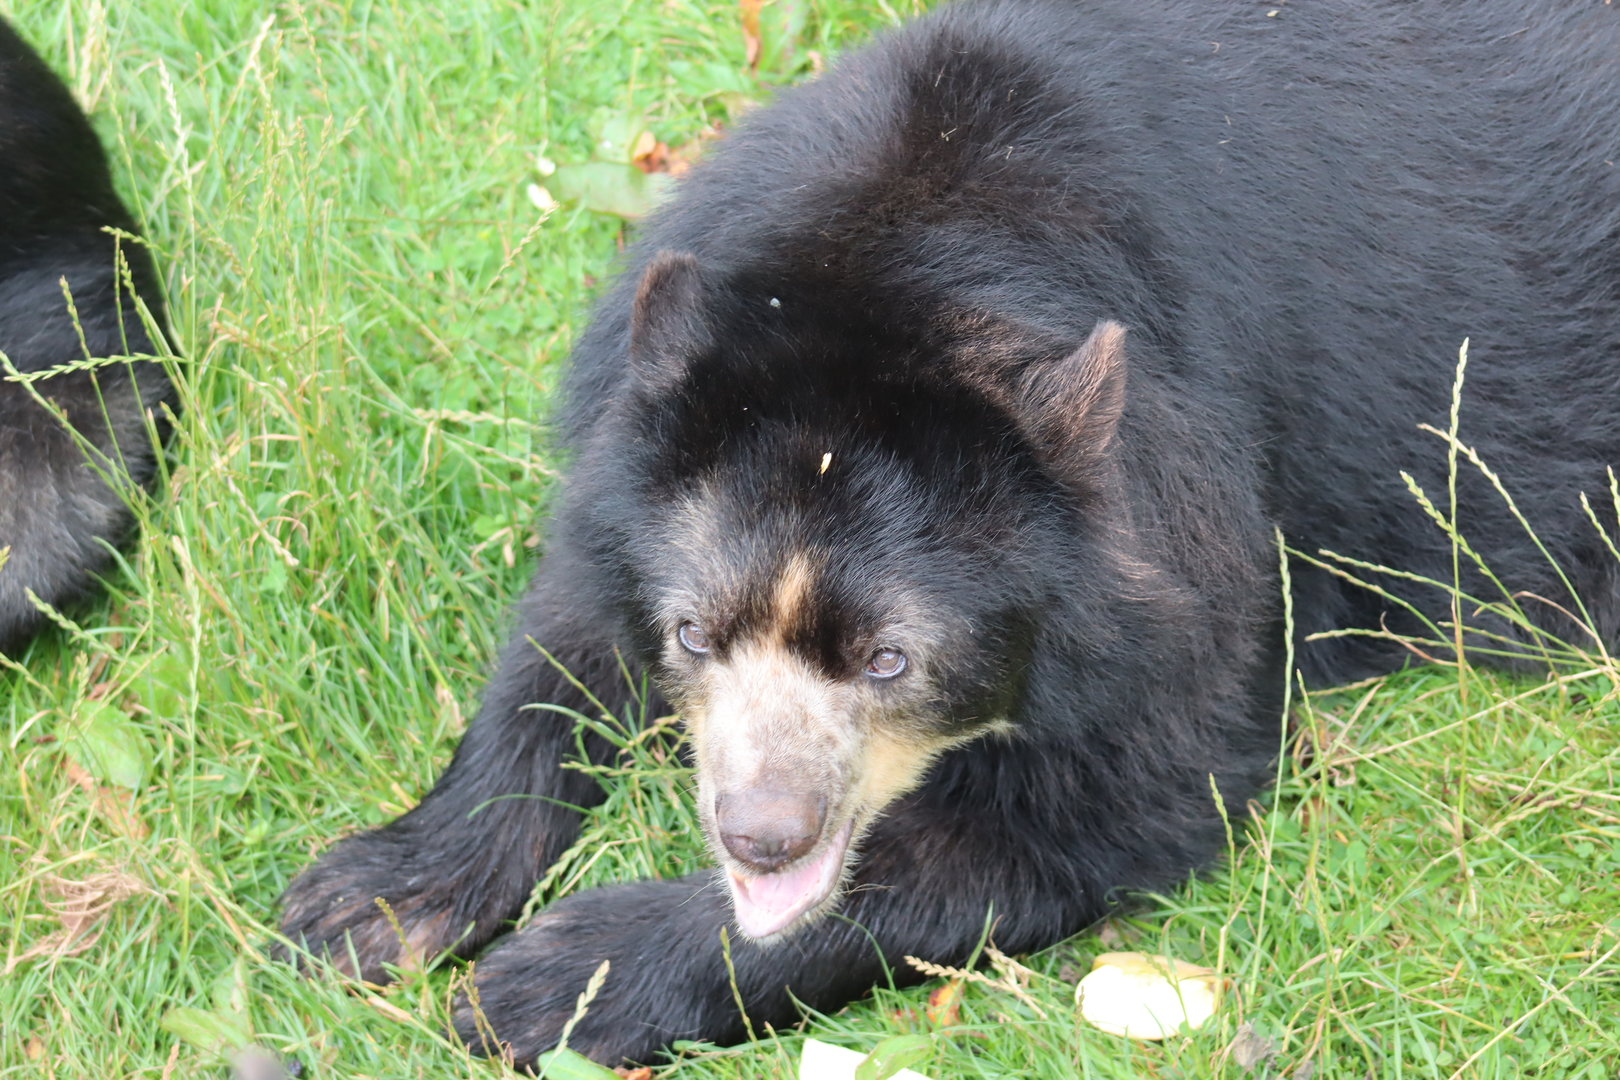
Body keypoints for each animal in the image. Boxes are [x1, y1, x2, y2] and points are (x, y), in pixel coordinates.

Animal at [279, 0, 1620, 1066]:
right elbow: (560, 641)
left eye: (890, 660)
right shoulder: (630, 432)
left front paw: (556, 982)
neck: (909, 247)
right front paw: (369, 902)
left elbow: (1103, 804)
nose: (760, 836)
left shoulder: (1193, 519)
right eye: (696, 633)